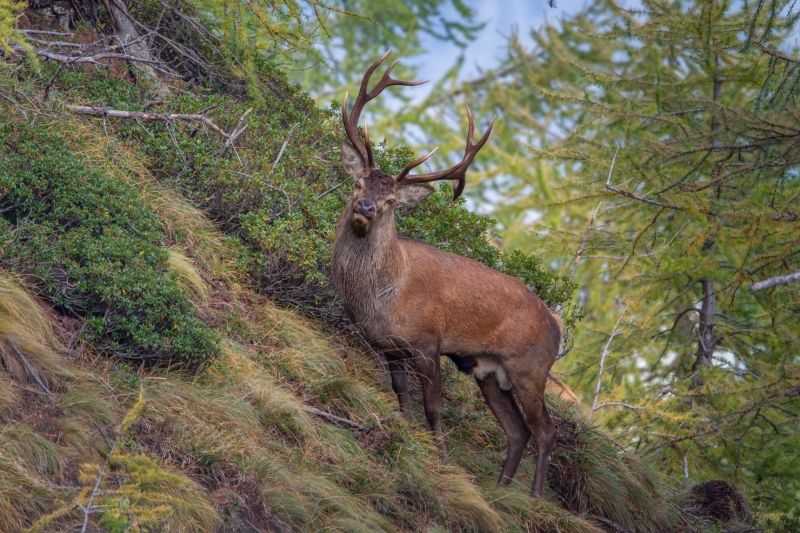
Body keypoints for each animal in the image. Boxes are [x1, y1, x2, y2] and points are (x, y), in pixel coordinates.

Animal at [331, 51, 564, 497]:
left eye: (391, 200)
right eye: (357, 183)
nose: (366, 208)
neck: (382, 296)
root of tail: (558, 328)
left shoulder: (428, 341)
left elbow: (433, 407)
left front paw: (441, 460)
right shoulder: (389, 345)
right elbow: (401, 395)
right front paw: (405, 436)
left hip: (530, 369)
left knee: (546, 431)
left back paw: (534, 497)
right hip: (489, 371)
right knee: (518, 432)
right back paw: (499, 491)